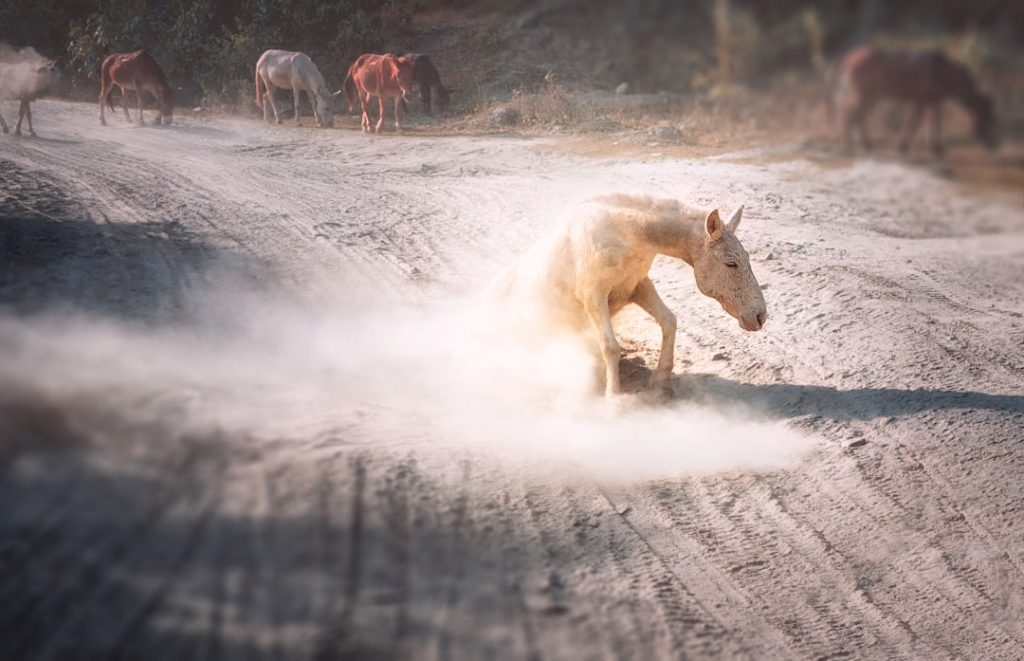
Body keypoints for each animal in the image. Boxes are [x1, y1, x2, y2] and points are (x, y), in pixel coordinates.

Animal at [488, 194, 767, 397]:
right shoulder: (594, 297)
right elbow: (611, 347)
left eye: (747, 257)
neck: (622, 233)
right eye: (731, 263)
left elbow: (669, 321)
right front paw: (614, 398)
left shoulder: (638, 287)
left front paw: (661, 383)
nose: (760, 316)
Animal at [827, 46, 998, 156]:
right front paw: (935, 148)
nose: (992, 143)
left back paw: (864, 143)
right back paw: (851, 143)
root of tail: (848, 58)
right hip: (865, 95)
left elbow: (917, 121)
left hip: (871, 96)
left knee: (857, 116)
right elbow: (927, 121)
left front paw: (906, 145)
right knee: (851, 114)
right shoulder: (929, 100)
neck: (942, 72)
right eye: (986, 114)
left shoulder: (924, 101)